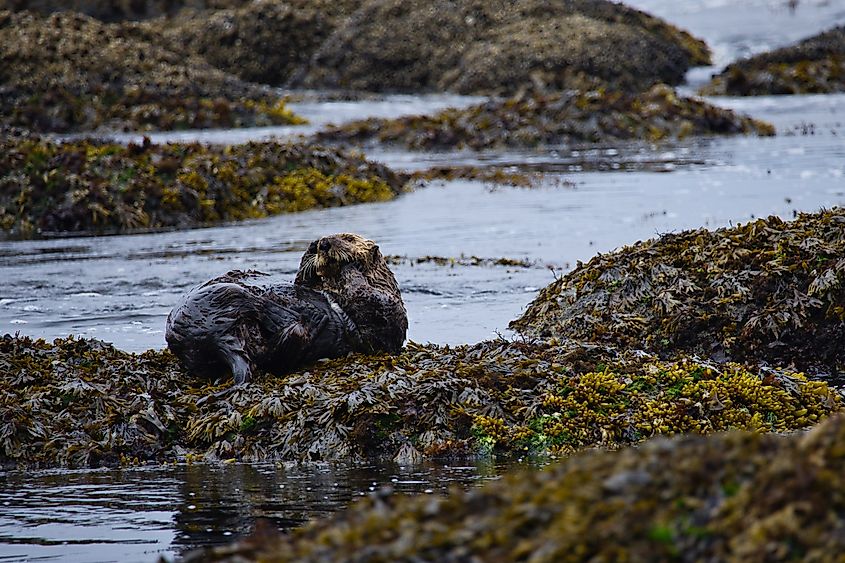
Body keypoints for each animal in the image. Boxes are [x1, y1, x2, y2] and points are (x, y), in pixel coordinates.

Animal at [165, 233, 407, 384]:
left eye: (349, 238)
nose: (324, 244)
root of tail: (216, 337)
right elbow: (301, 280)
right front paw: (312, 248)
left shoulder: (385, 320)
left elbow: (371, 300)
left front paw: (351, 265)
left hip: (222, 296)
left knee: (272, 345)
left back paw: (300, 319)